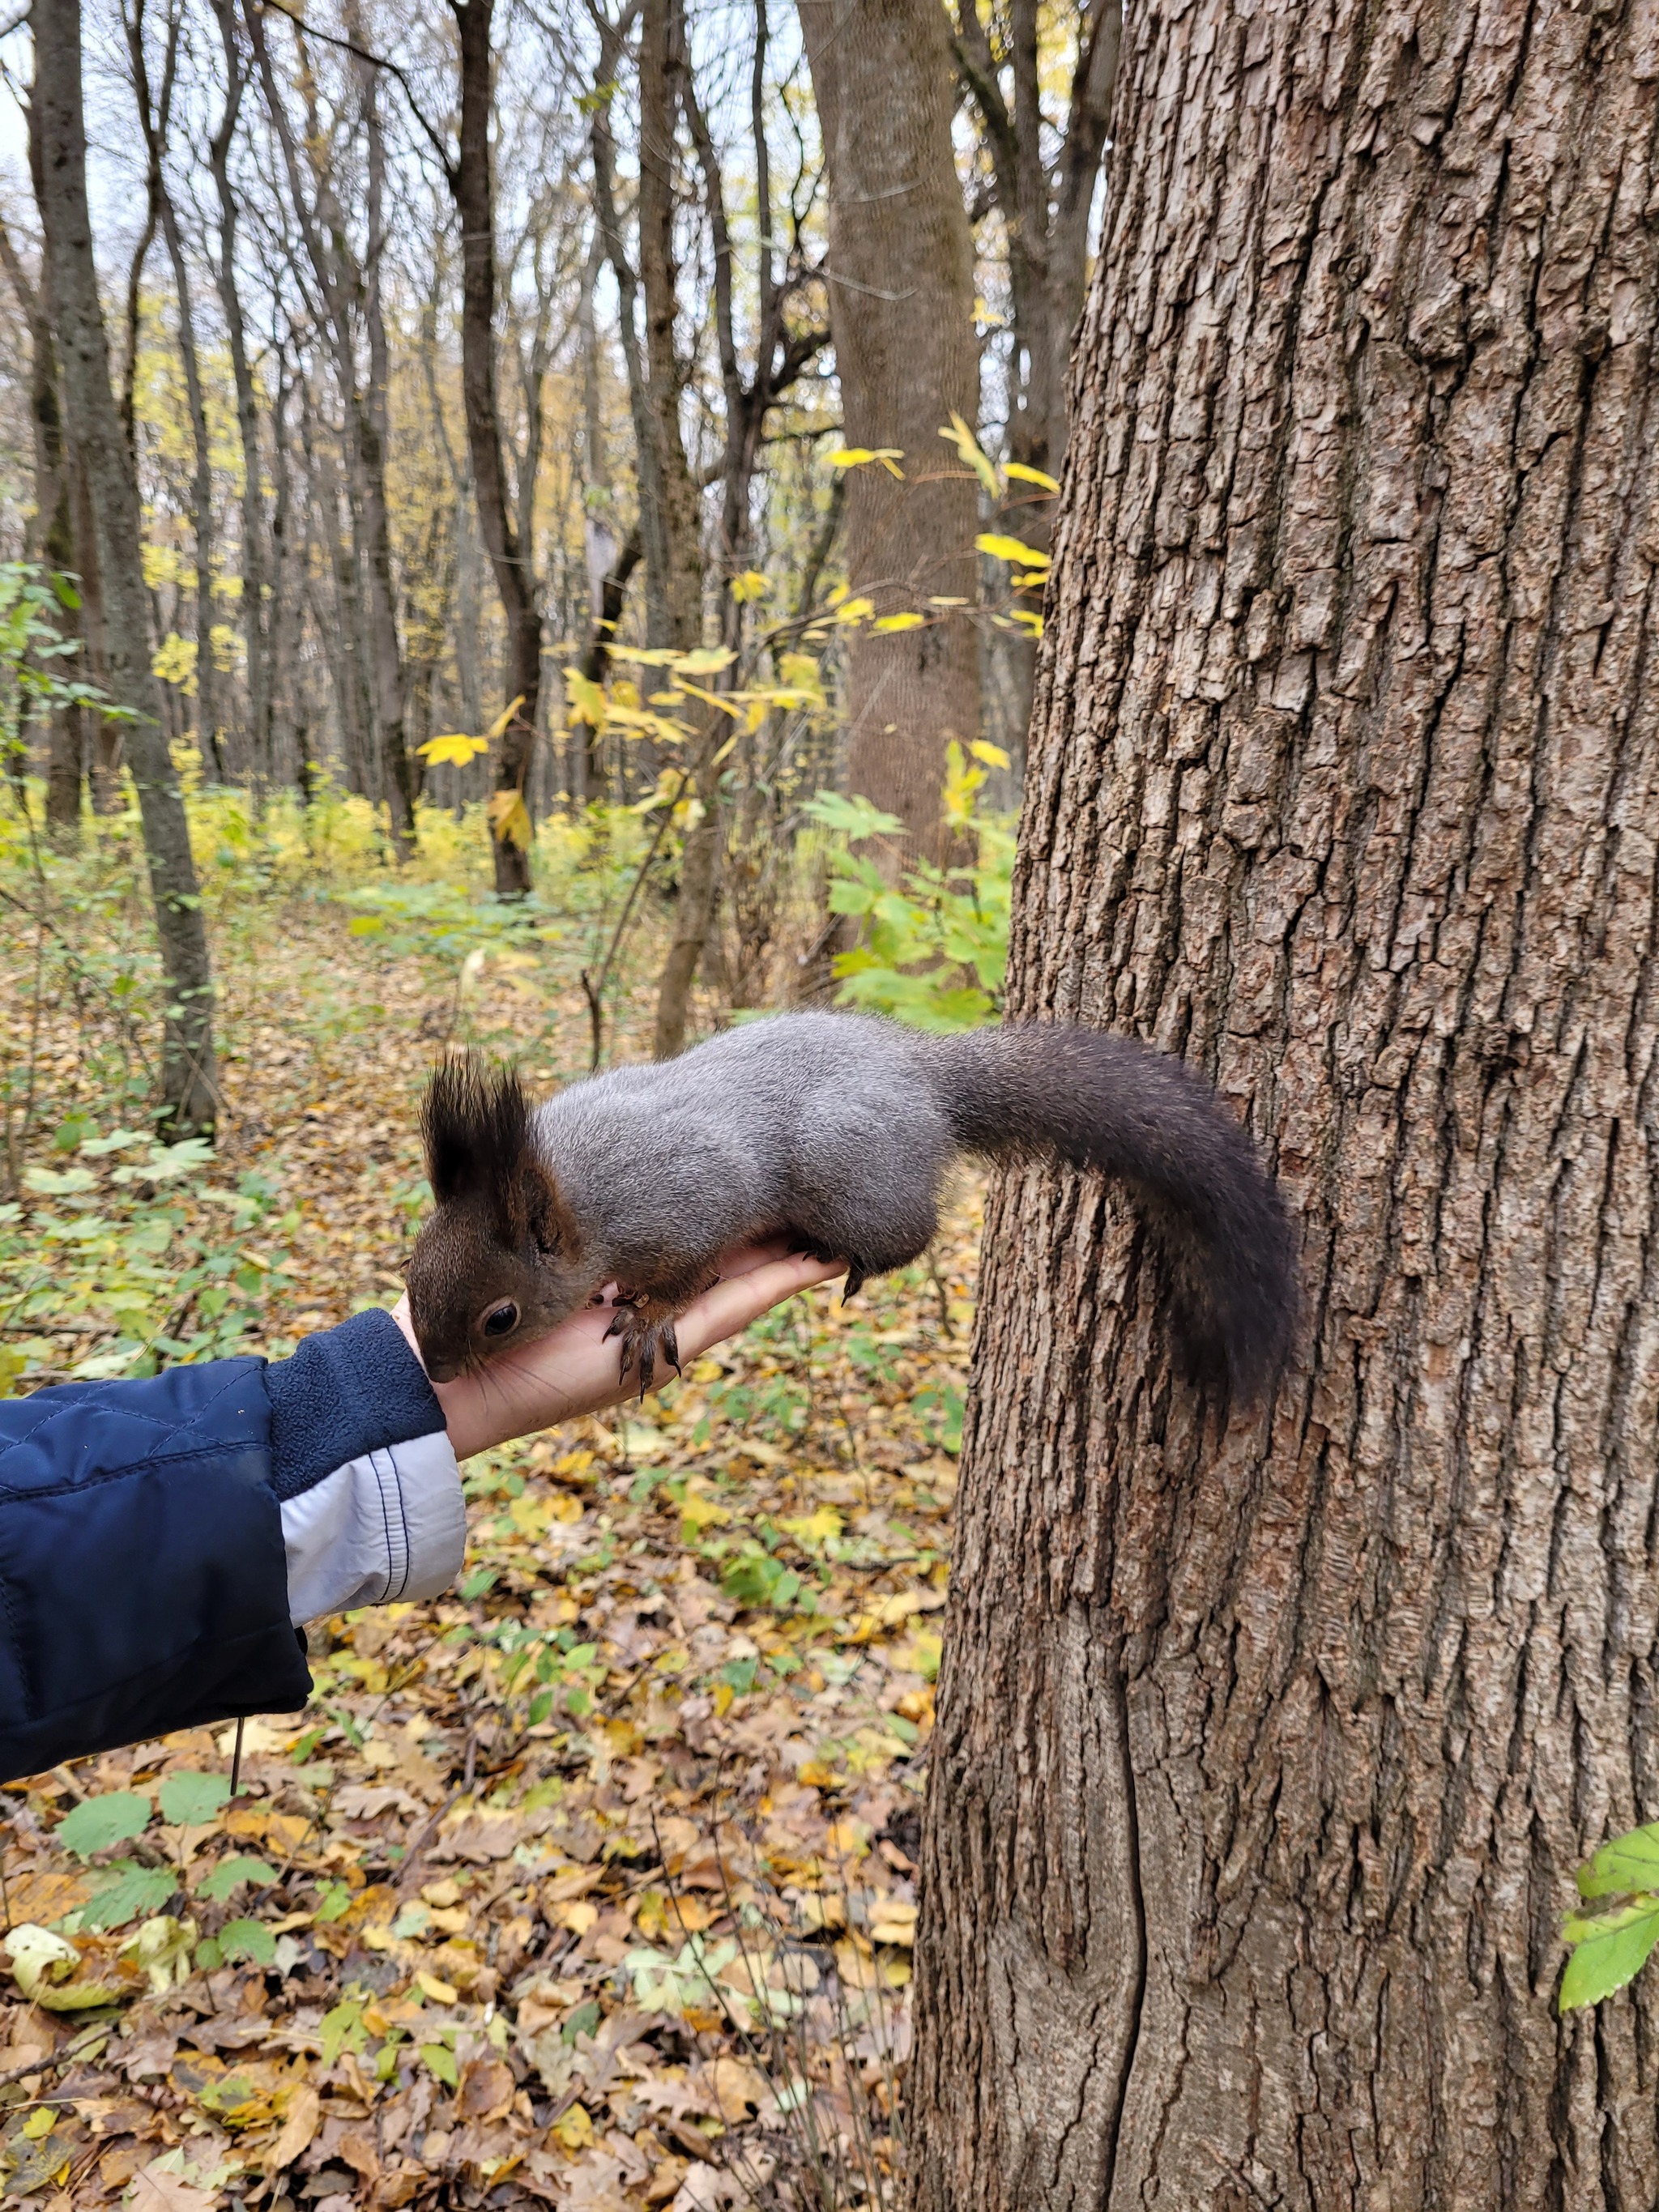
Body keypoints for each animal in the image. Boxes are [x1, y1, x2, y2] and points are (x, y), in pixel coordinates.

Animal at [407, 1008, 1300, 1397]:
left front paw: (650, 1313)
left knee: (915, 1230)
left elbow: (692, 1269)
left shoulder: (691, 1200)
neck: (576, 1191)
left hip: (848, 1175)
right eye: (412, 1268)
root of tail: (926, 1085)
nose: (439, 1374)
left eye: (499, 1318)